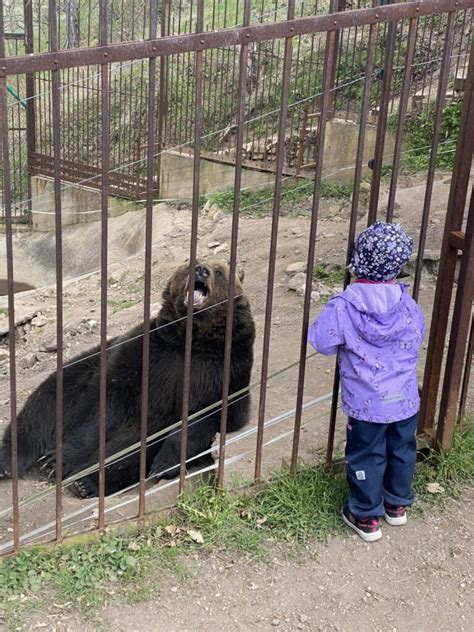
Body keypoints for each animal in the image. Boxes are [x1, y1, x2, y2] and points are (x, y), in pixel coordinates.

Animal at [0, 260, 256, 496]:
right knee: (44, 406)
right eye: (190, 264)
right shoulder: (146, 353)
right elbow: (101, 408)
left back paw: (86, 482)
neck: (192, 339)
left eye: (220, 271)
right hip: (83, 368)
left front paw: (164, 464)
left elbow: (206, 419)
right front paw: (58, 459)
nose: (201, 269)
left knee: (130, 453)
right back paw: (10, 461)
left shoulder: (226, 371)